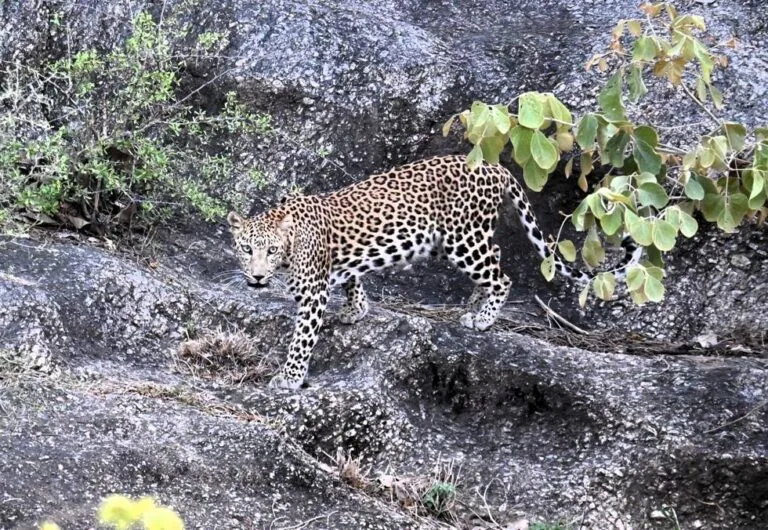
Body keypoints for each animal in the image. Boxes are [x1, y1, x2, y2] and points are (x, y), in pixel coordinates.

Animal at [227, 154, 640, 389]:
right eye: (247, 250)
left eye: (271, 250)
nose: (258, 277)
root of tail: (494, 166)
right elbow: (353, 278)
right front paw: (355, 309)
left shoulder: (312, 294)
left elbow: (301, 339)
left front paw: (289, 377)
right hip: (449, 240)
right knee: (496, 254)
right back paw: (473, 304)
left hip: (463, 239)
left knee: (502, 275)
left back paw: (483, 318)